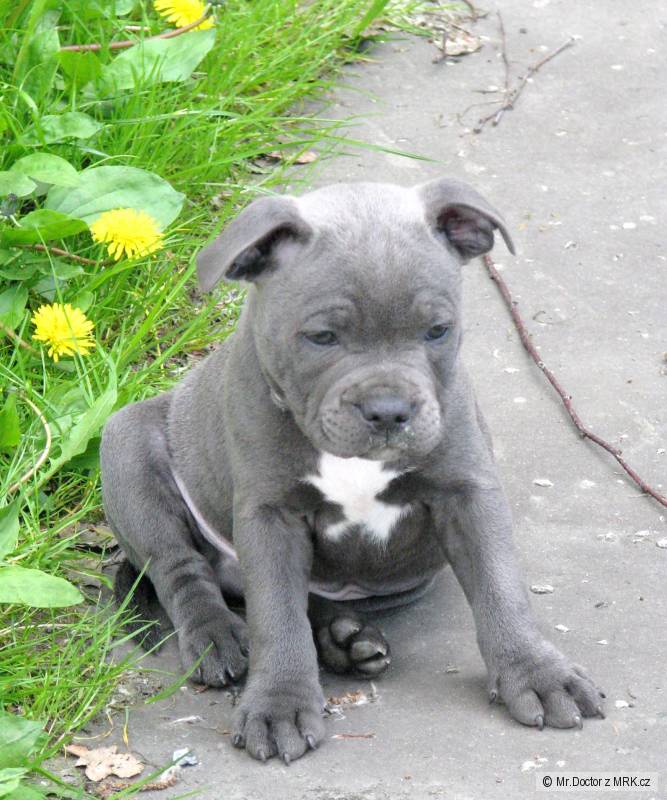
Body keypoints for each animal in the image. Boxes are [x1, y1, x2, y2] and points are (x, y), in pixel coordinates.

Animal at [101, 177, 604, 764]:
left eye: (438, 330)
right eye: (322, 337)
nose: (388, 409)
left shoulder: (467, 492)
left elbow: (501, 585)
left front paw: (537, 672)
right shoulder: (270, 516)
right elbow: (276, 614)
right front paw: (279, 703)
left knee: (308, 598)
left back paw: (344, 640)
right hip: (127, 447)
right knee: (179, 568)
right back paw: (218, 636)